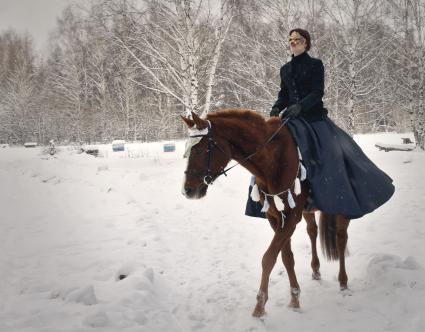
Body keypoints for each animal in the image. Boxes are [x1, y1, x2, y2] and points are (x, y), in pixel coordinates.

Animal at [181, 109, 350, 316]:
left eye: (198, 150)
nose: (187, 190)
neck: (272, 161)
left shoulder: (291, 218)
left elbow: (268, 258)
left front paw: (259, 307)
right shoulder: (275, 217)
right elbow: (286, 258)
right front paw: (295, 298)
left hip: (342, 207)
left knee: (341, 238)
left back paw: (343, 282)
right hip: (309, 212)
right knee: (313, 231)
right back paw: (316, 270)